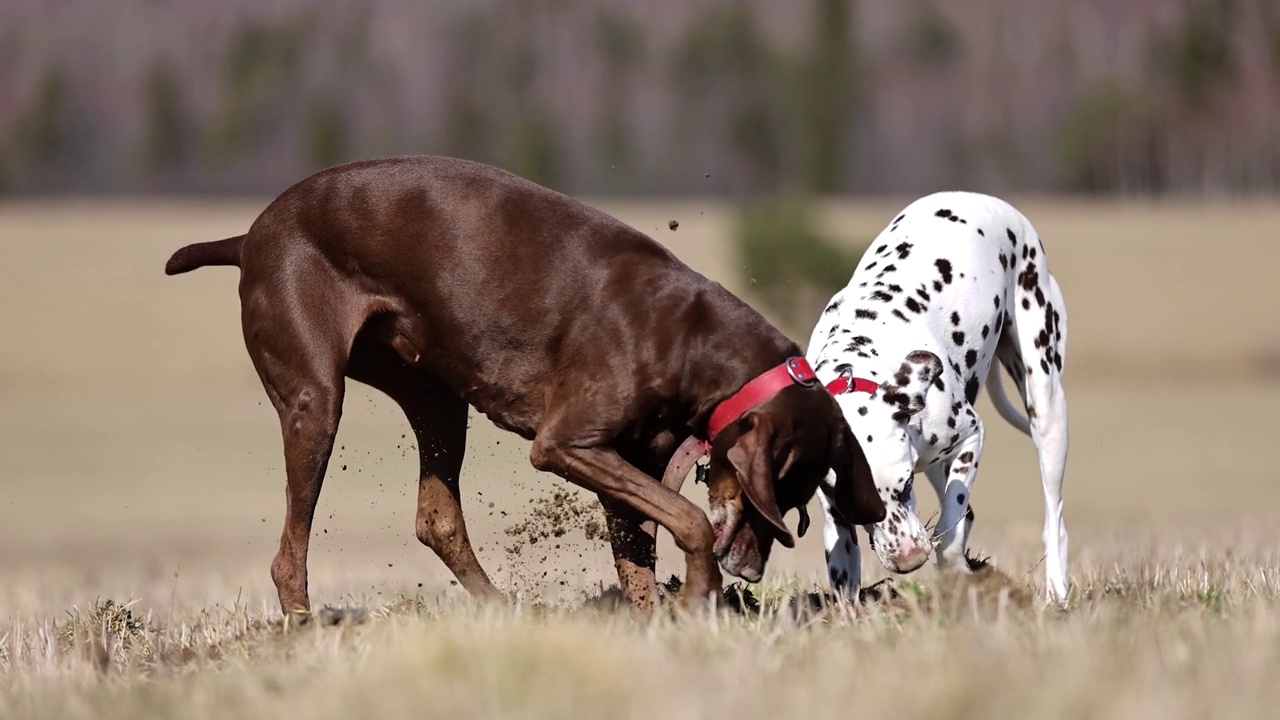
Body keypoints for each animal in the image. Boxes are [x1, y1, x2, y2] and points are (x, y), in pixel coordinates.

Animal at [165, 154, 885, 614]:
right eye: (788, 495)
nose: (752, 573)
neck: (693, 339)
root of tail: (249, 235)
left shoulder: (624, 468)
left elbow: (640, 557)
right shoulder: (566, 444)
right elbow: (688, 521)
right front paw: (702, 593)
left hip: (436, 396)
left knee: (437, 519)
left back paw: (501, 611)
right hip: (316, 400)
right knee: (290, 552)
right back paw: (306, 629)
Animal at [808, 190, 1070, 599]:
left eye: (905, 485)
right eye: (858, 509)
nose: (909, 559)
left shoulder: (970, 436)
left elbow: (951, 519)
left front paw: (957, 575)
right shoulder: (830, 498)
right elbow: (843, 557)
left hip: (1047, 409)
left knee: (1053, 519)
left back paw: (1056, 590)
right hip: (935, 459)